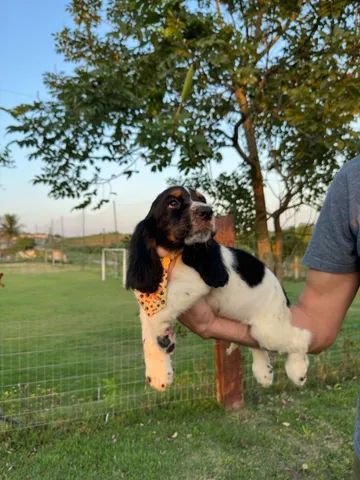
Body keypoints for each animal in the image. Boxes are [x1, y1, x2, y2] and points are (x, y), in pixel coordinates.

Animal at [127, 186, 312, 392]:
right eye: (173, 202)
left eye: (202, 199)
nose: (207, 211)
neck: (174, 254)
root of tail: (283, 297)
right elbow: (147, 323)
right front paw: (158, 371)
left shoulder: (193, 281)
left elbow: (159, 310)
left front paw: (161, 332)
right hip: (256, 329)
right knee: (258, 344)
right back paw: (264, 372)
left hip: (270, 331)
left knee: (301, 337)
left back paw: (298, 371)